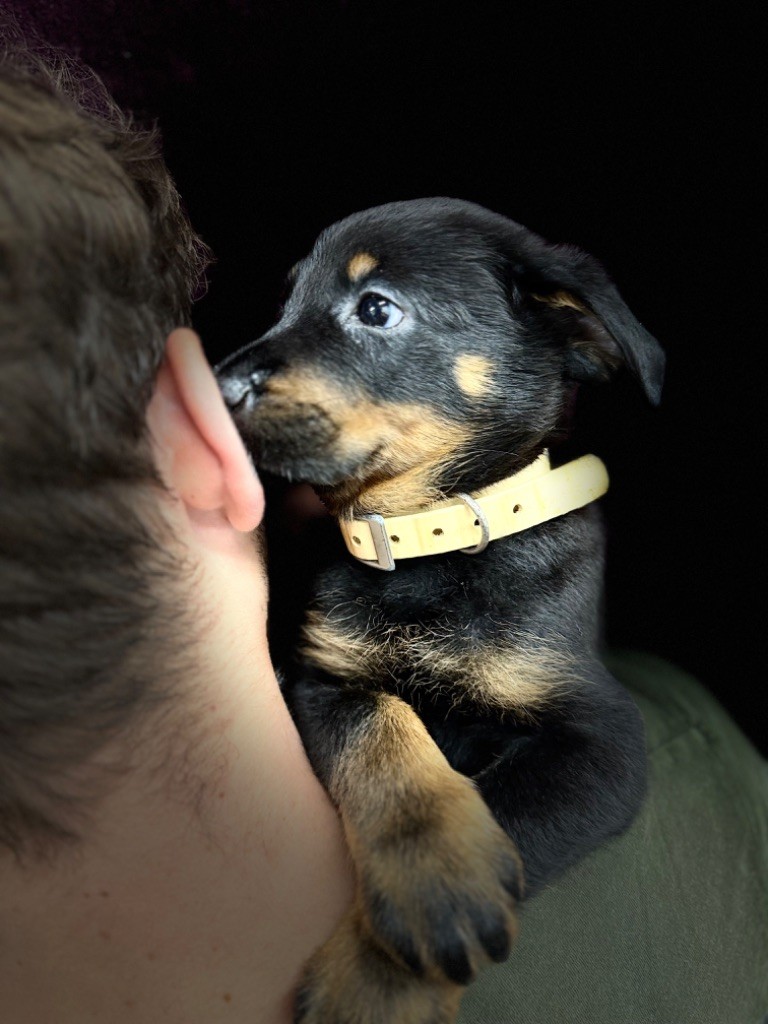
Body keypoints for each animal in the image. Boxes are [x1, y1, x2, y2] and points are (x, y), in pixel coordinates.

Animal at [216, 198, 664, 1024]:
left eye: (375, 308)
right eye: (285, 303)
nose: (219, 385)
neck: (430, 545)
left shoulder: (604, 737)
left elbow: (512, 808)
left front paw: (376, 978)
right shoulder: (320, 679)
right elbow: (384, 726)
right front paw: (438, 878)